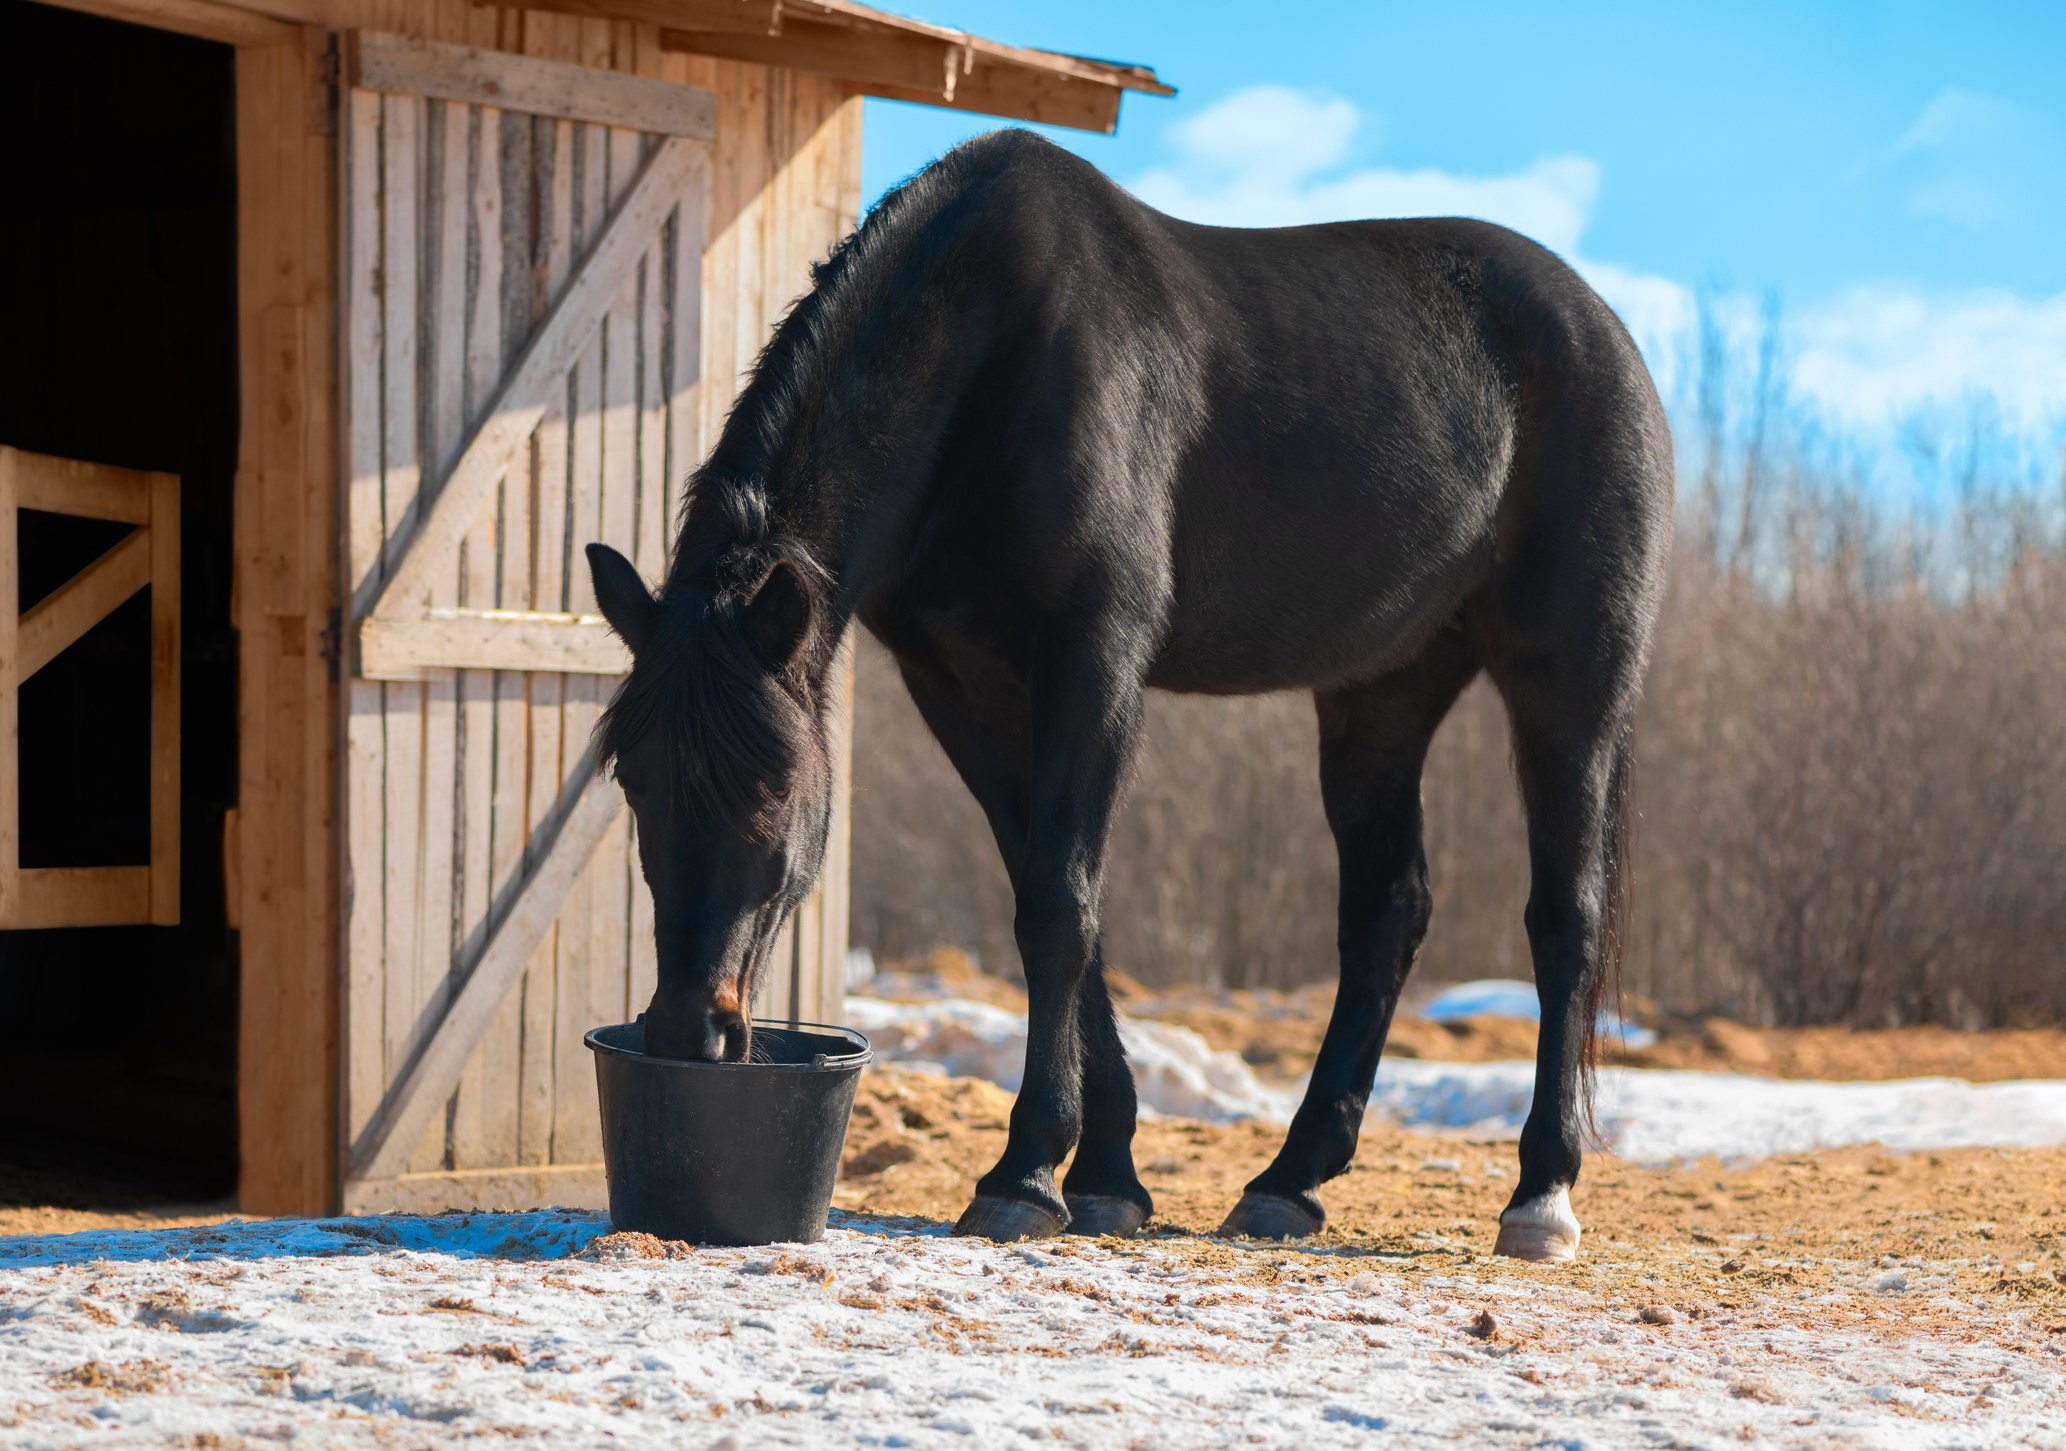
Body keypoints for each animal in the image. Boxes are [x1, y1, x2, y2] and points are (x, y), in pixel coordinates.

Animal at [586, 128, 1677, 1264]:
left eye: (772, 789)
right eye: (633, 782)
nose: (688, 1033)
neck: (995, 356)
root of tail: (1600, 330)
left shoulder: (1093, 661)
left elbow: (1058, 908)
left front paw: (1023, 1176)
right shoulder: (961, 686)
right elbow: (1063, 904)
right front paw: (1104, 1172)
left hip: (1569, 682)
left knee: (1564, 915)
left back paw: (1540, 1192)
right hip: (1381, 690)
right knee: (1387, 908)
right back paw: (1287, 1182)